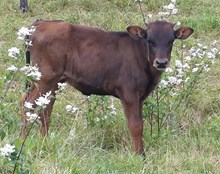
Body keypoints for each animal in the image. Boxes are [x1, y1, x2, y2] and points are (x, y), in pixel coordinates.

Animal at [20, 20, 192, 155]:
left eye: (171, 41)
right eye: (150, 40)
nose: (161, 62)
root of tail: (42, 23)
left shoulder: (140, 97)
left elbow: (141, 123)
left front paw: (142, 152)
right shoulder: (129, 93)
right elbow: (135, 125)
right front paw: (139, 156)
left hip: (52, 83)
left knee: (45, 110)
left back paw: (44, 141)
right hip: (44, 79)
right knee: (26, 103)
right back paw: (22, 140)